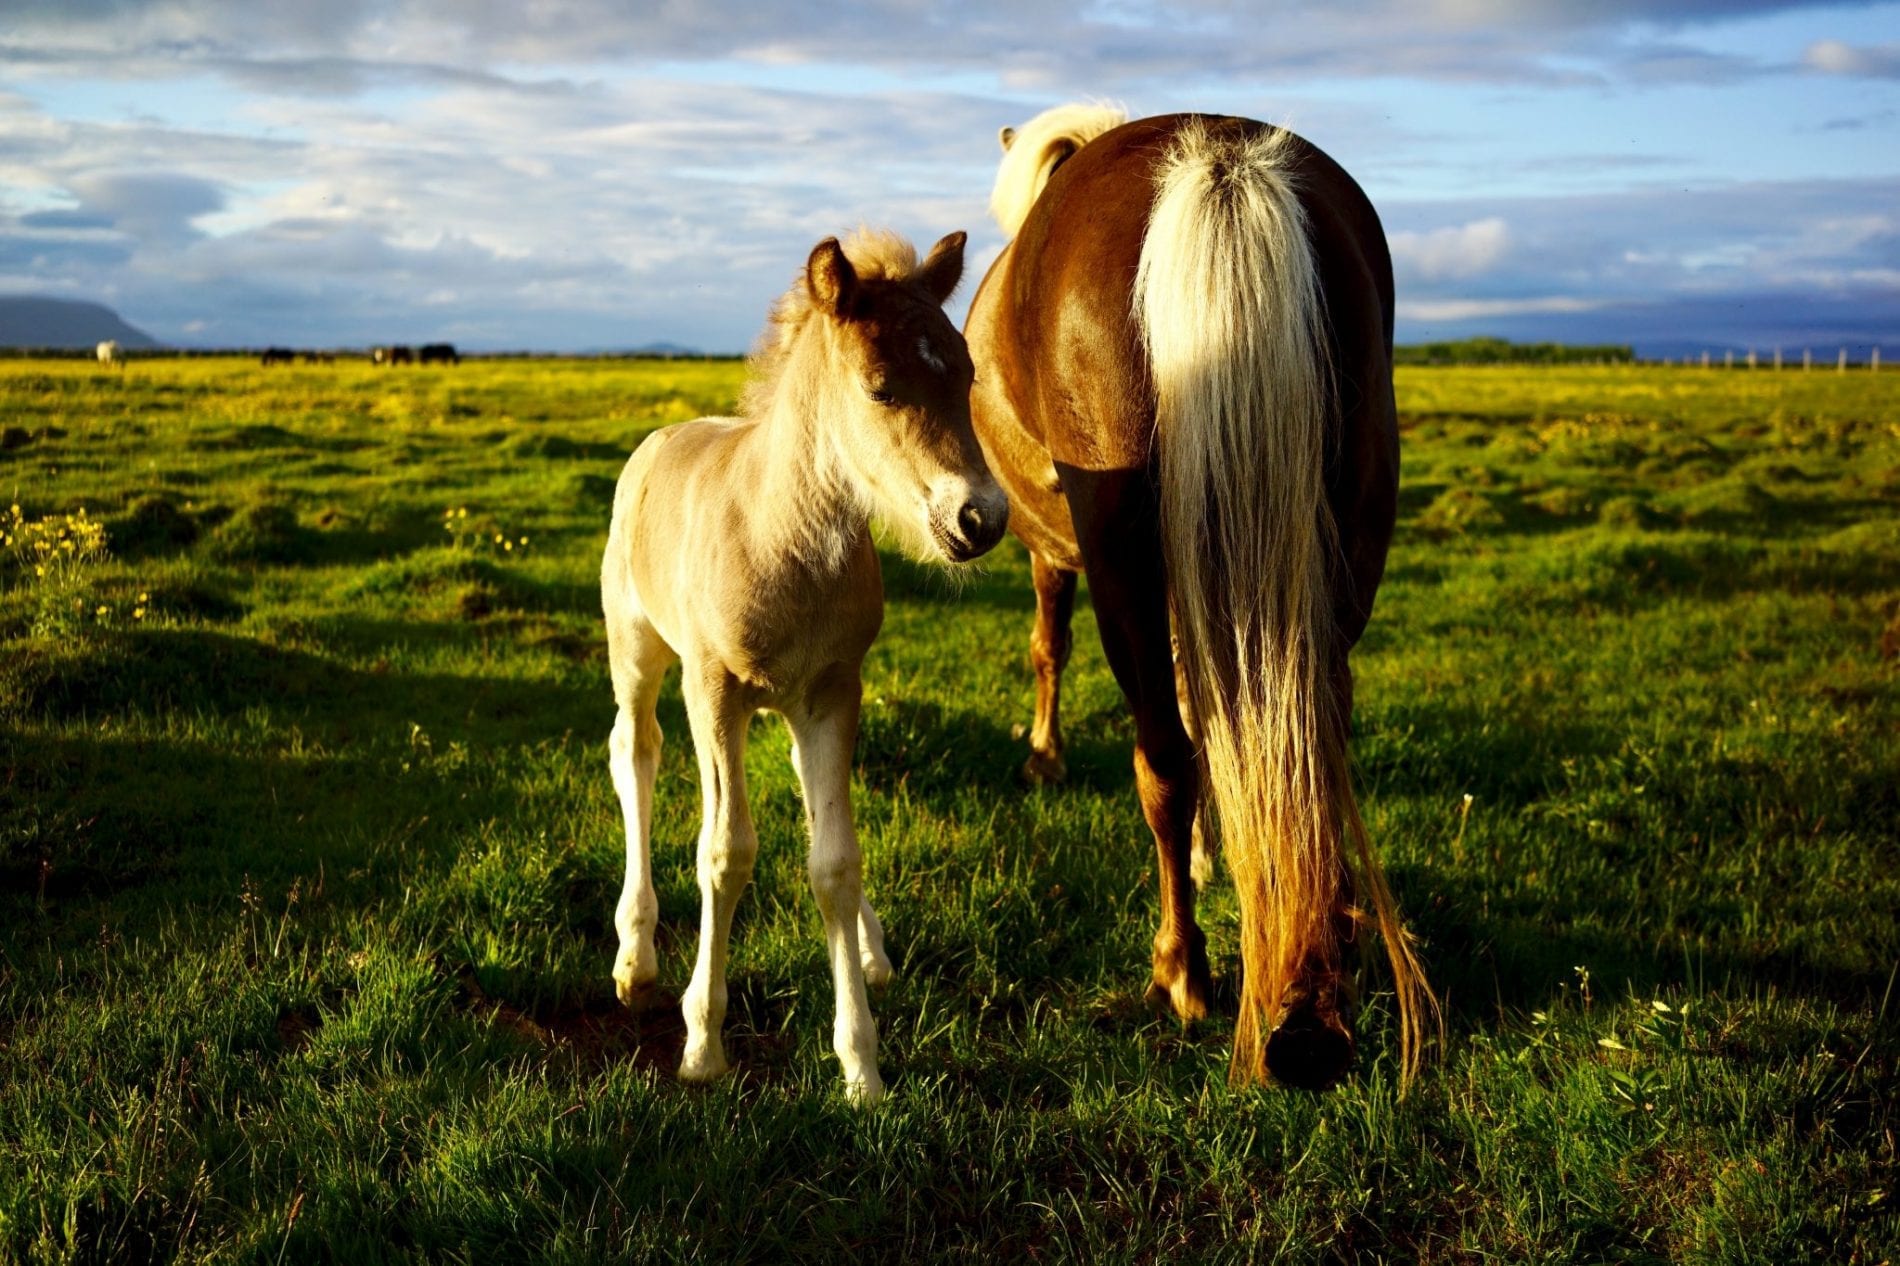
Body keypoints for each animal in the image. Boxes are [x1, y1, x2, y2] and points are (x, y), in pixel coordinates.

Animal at [604, 231, 1010, 1102]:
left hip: (790, 705)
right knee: (635, 754)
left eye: (966, 376)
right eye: (881, 388)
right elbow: (725, 853)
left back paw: (873, 949)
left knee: (797, 786)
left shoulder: (834, 690)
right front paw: (703, 1043)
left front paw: (862, 1064)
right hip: (638, 648)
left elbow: (835, 860)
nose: (981, 518)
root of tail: (660, 436)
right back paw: (635, 955)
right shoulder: (713, 689)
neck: (779, 535)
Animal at [972, 103, 1428, 1087]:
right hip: (1342, 545)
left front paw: (1043, 756)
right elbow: (1216, 708)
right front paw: (1227, 853)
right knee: (1308, 734)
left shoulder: (1055, 550)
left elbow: (1051, 648)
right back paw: (1320, 956)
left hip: (1125, 569)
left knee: (1162, 760)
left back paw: (1182, 968)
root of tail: (1218, 160)